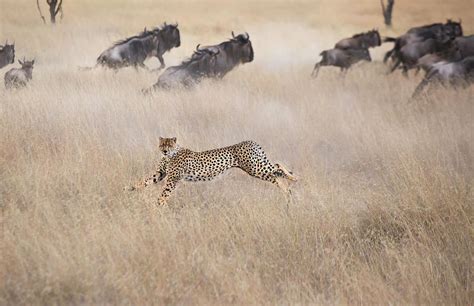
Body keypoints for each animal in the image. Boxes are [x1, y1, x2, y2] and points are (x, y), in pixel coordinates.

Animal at [129, 137, 296, 206]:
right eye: (162, 144)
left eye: (169, 145)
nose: (164, 150)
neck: (171, 155)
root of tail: (250, 141)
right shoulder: (161, 174)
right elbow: (145, 181)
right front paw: (130, 188)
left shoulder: (172, 179)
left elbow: (165, 193)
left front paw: (159, 204)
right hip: (258, 167)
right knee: (276, 173)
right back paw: (288, 189)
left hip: (255, 168)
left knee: (277, 168)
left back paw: (292, 180)